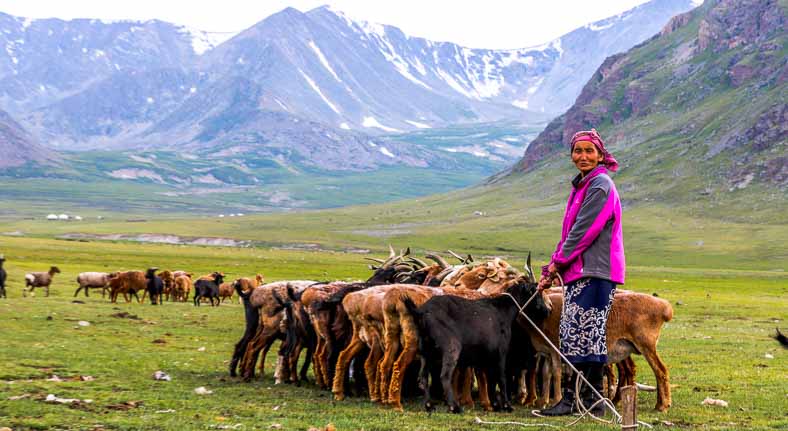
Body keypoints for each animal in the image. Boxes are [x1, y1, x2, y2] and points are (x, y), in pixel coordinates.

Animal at [404, 280, 552, 416]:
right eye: (538, 293)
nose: (547, 311)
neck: (503, 309)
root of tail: (421, 311)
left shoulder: (487, 355)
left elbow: (491, 379)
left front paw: (495, 405)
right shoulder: (501, 352)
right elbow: (501, 378)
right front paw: (507, 406)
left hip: (426, 350)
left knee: (423, 377)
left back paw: (429, 406)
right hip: (451, 347)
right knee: (444, 376)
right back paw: (454, 407)